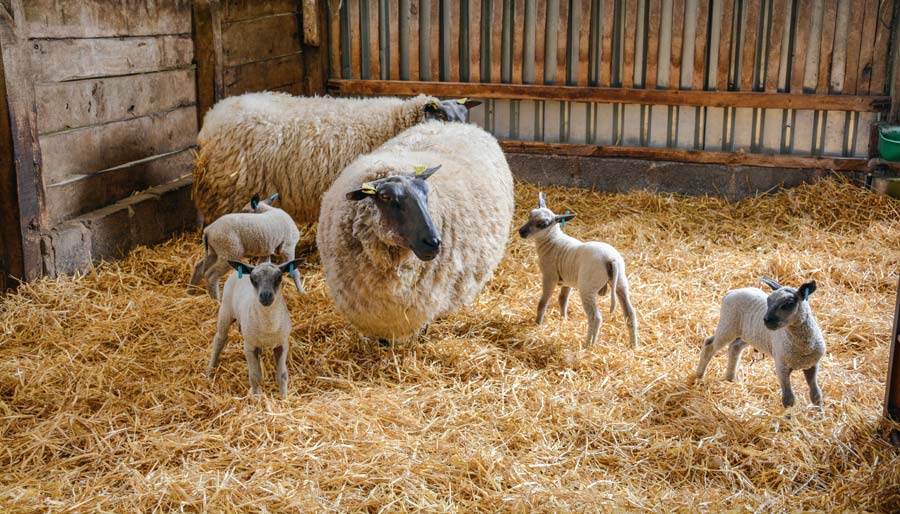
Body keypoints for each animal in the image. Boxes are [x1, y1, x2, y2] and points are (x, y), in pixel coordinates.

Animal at [512, 192, 640, 348]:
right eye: (529, 215)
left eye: (543, 224)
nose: (521, 232)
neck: (552, 241)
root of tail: (611, 259)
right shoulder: (567, 280)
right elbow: (563, 299)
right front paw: (564, 319)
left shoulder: (549, 277)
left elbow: (543, 302)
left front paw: (537, 323)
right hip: (621, 282)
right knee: (630, 313)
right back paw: (633, 345)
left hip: (587, 287)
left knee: (595, 317)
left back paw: (589, 345)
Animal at [692, 278, 828, 406]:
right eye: (768, 300)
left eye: (789, 303)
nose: (766, 320)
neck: (804, 346)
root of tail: (731, 292)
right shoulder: (781, 367)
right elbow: (788, 399)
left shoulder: (812, 365)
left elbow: (816, 395)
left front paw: (819, 414)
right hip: (728, 325)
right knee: (709, 344)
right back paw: (698, 376)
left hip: (749, 334)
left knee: (735, 347)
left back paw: (730, 379)